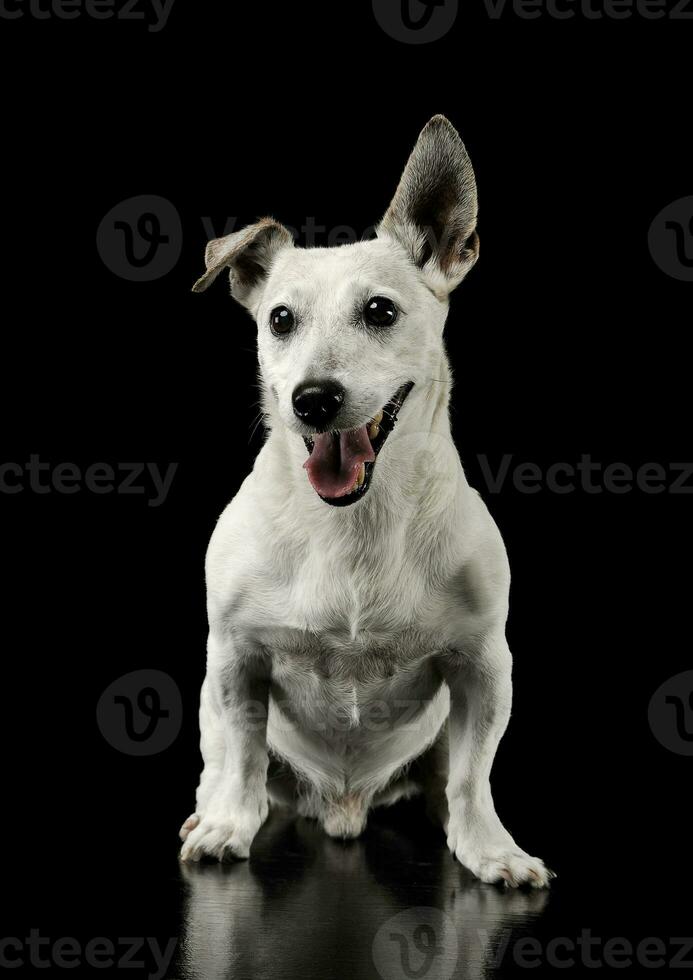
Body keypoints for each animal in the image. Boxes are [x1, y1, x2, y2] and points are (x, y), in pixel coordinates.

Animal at [178, 115, 552, 888]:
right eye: (279, 320)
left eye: (379, 311)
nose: (312, 400)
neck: (351, 524)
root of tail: (343, 807)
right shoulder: (235, 659)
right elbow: (242, 756)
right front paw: (229, 825)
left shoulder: (483, 667)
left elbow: (473, 776)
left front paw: (490, 848)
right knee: (223, 763)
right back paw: (208, 813)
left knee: (444, 776)